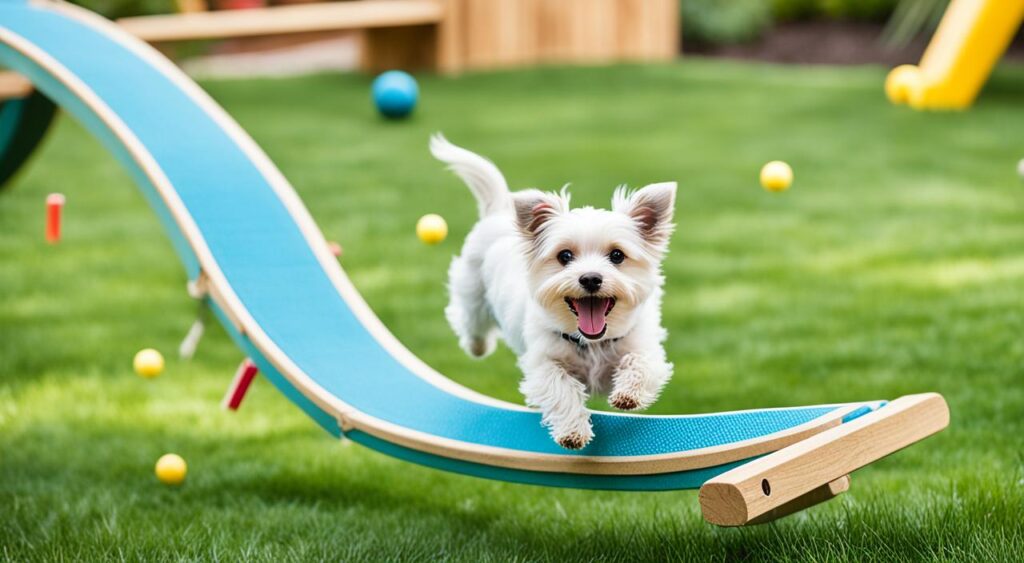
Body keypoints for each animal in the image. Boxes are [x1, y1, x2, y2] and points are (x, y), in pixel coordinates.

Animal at [428, 135, 675, 452]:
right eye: (564, 255)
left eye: (617, 255)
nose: (591, 278)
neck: (590, 342)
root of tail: (498, 213)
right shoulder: (542, 362)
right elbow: (560, 388)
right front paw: (573, 431)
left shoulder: (643, 345)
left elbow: (642, 362)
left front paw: (628, 393)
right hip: (472, 295)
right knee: (470, 324)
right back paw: (478, 346)